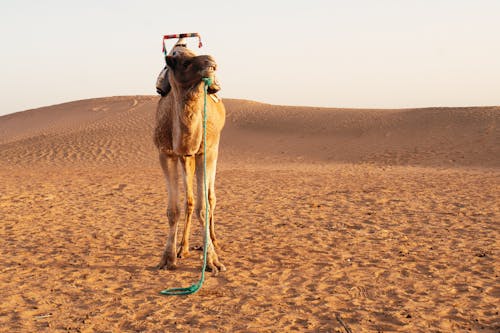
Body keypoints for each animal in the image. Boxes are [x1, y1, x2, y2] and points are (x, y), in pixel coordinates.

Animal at [153, 48, 226, 272]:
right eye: (185, 63)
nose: (212, 64)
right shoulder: (166, 154)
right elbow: (173, 210)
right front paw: (168, 258)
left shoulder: (204, 153)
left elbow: (204, 207)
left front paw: (212, 260)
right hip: (186, 159)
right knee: (190, 200)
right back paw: (183, 248)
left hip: (214, 148)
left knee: (211, 197)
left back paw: (213, 241)